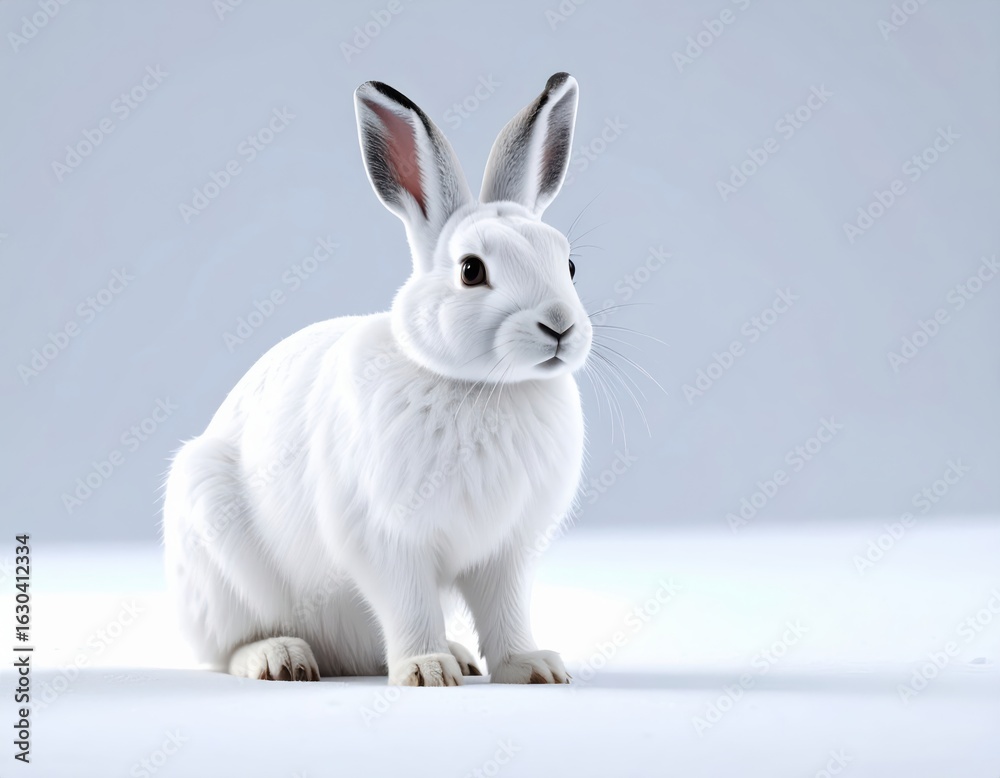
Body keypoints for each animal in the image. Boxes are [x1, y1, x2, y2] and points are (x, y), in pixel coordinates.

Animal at [162, 72, 591, 686]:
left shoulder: (505, 551)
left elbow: (506, 612)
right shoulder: (386, 539)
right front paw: (426, 670)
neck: (480, 387)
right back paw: (280, 658)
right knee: (229, 644)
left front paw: (530, 667)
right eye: (471, 270)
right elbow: (408, 603)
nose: (560, 326)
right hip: (218, 553)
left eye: (570, 265)